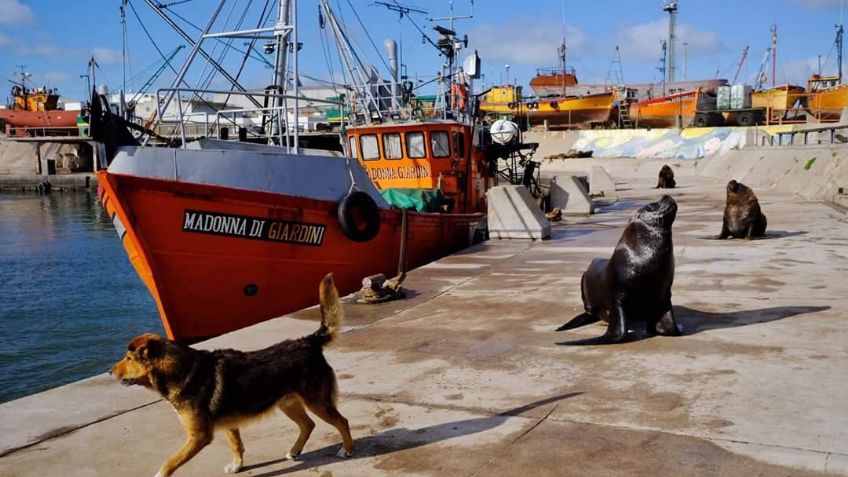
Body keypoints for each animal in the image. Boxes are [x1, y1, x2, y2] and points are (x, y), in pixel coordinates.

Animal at [110, 274, 354, 474]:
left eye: (129, 358)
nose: (110, 371)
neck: (181, 371)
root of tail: (309, 341)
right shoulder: (229, 423)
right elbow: (236, 445)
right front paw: (238, 465)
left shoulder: (198, 437)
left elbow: (169, 462)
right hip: (289, 404)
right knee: (308, 425)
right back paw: (294, 451)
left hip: (317, 403)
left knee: (342, 421)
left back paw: (347, 450)